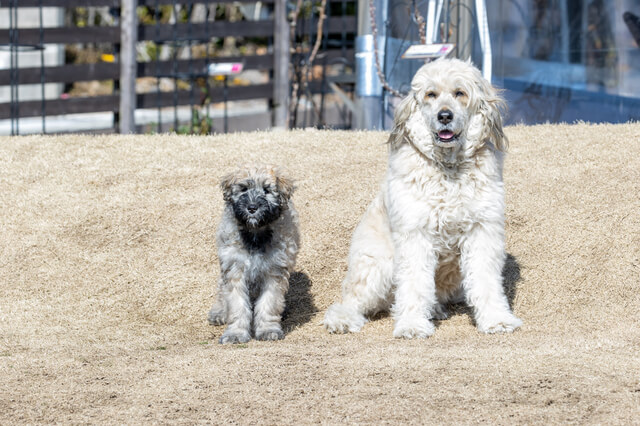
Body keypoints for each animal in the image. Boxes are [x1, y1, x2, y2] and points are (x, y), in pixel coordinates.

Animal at [209, 165, 302, 344]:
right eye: (243, 189)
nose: (252, 208)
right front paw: (235, 334)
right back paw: (219, 312)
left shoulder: (274, 272)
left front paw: (268, 330)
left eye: (267, 190)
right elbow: (237, 304)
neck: (255, 233)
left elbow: (269, 302)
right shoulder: (234, 269)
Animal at [322, 58, 524, 338]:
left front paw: (496, 319)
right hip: (377, 266)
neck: (448, 169)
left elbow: (486, 281)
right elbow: (414, 284)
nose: (444, 116)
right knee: (352, 300)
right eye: (431, 94)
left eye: (460, 93)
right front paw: (412, 325)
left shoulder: (482, 231)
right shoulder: (415, 235)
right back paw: (342, 319)